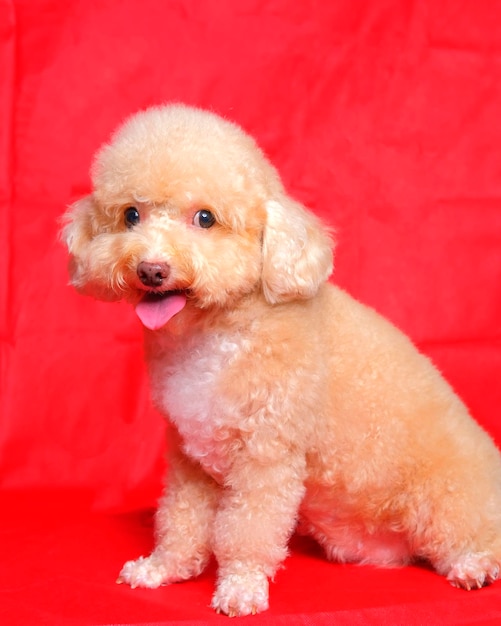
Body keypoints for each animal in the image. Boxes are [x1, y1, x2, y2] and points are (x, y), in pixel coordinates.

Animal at [61, 103, 500, 616]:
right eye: (131, 215)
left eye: (206, 218)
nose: (152, 269)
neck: (217, 335)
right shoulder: (190, 458)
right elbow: (181, 520)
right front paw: (163, 568)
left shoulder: (266, 454)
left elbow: (247, 530)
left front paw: (240, 587)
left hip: (444, 501)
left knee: (469, 539)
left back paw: (472, 566)